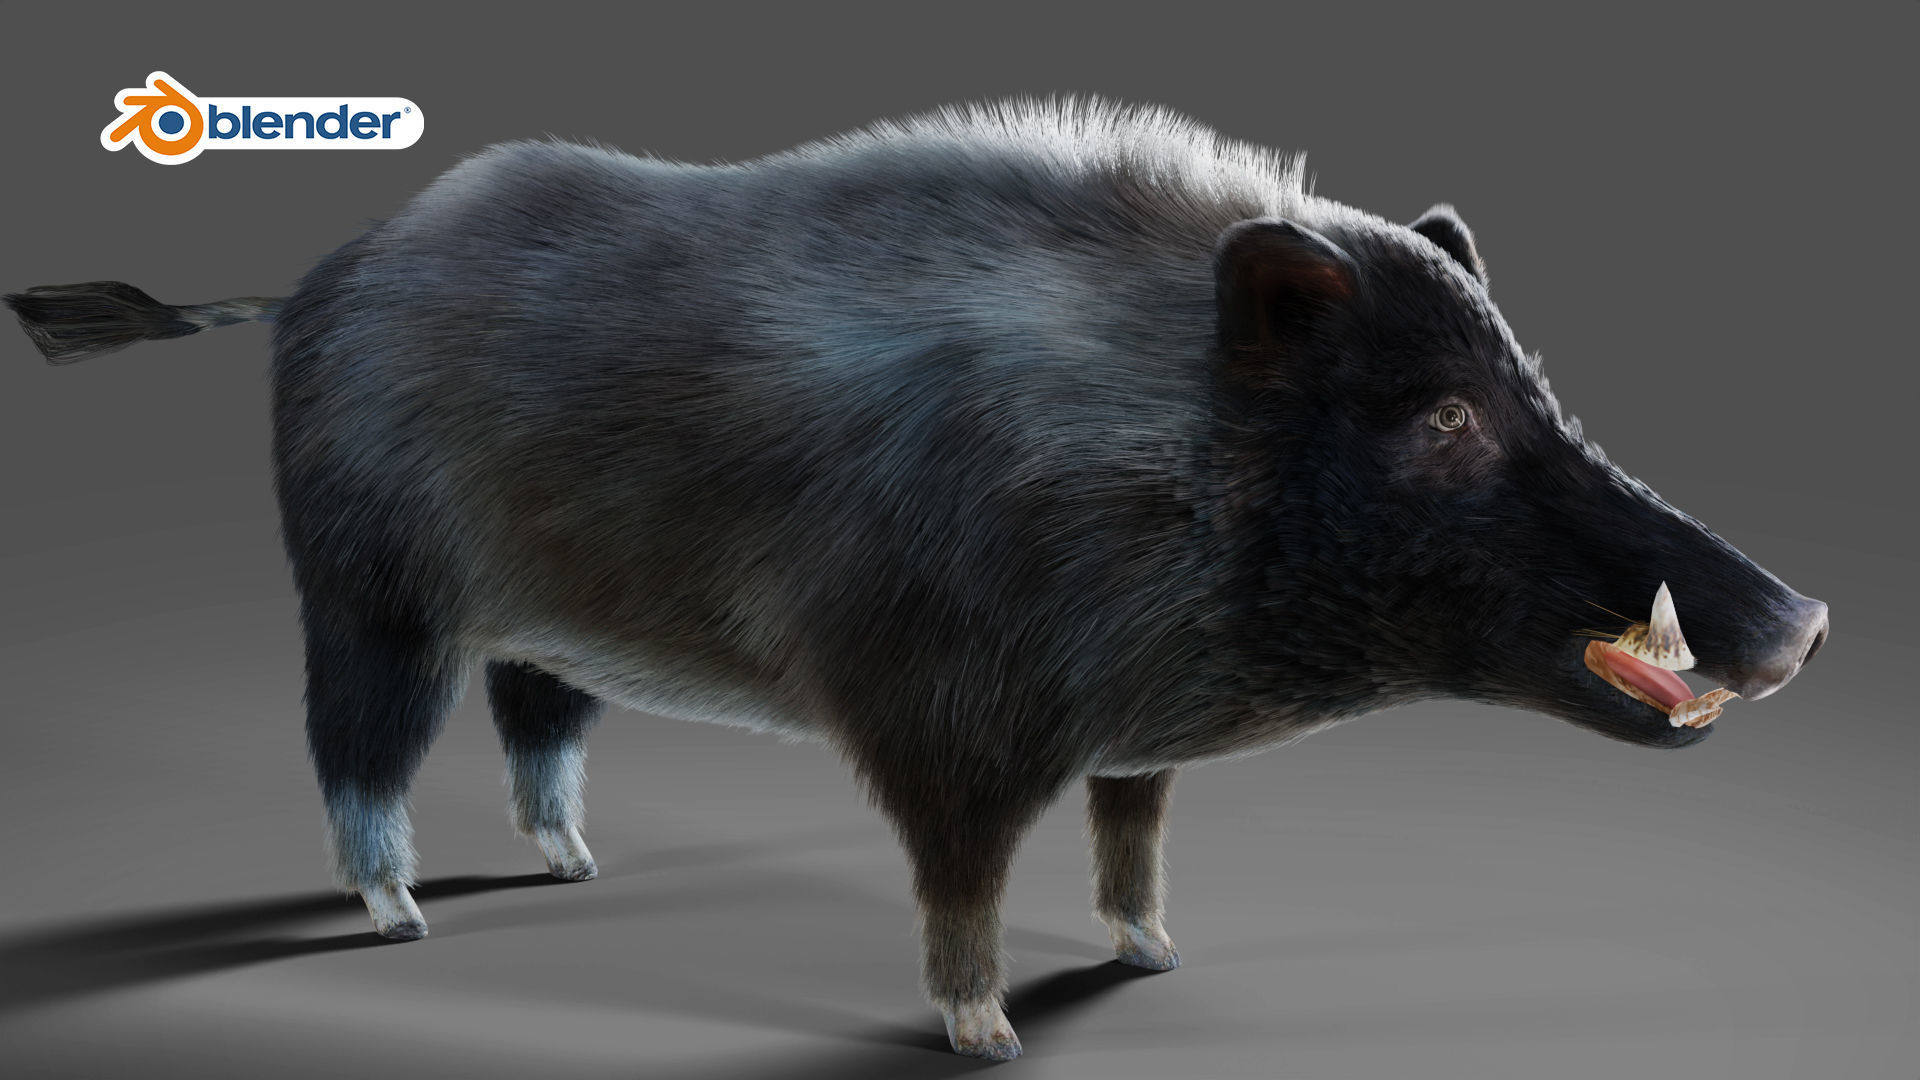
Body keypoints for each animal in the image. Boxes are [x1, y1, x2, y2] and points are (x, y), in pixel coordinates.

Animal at [5, 98, 1829, 1060]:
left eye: (1528, 381)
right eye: (1443, 416)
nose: (1806, 619)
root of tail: (315, 276)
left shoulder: (1127, 739)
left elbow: (1133, 839)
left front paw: (1156, 962)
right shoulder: (939, 716)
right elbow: (961, 882)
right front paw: (989, 1038)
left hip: (538, 621)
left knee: (536, 722)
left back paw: (577, 870)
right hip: (364, 589)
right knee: (355, 749)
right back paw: (394, 915)